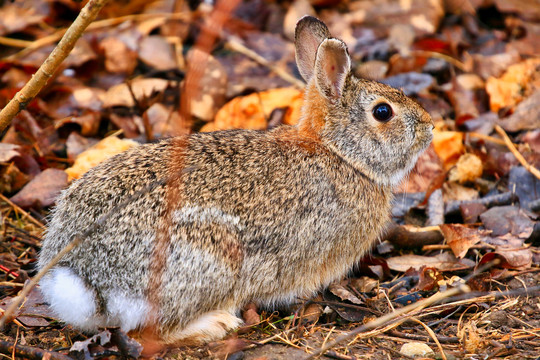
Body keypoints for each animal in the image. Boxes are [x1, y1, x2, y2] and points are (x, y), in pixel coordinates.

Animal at [38, 16, 434, 354]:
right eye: (382, 112)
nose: (429, 127)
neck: (340, 153)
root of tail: (83, 278)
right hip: (211, 260)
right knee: (150, 332)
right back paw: (215, 325)